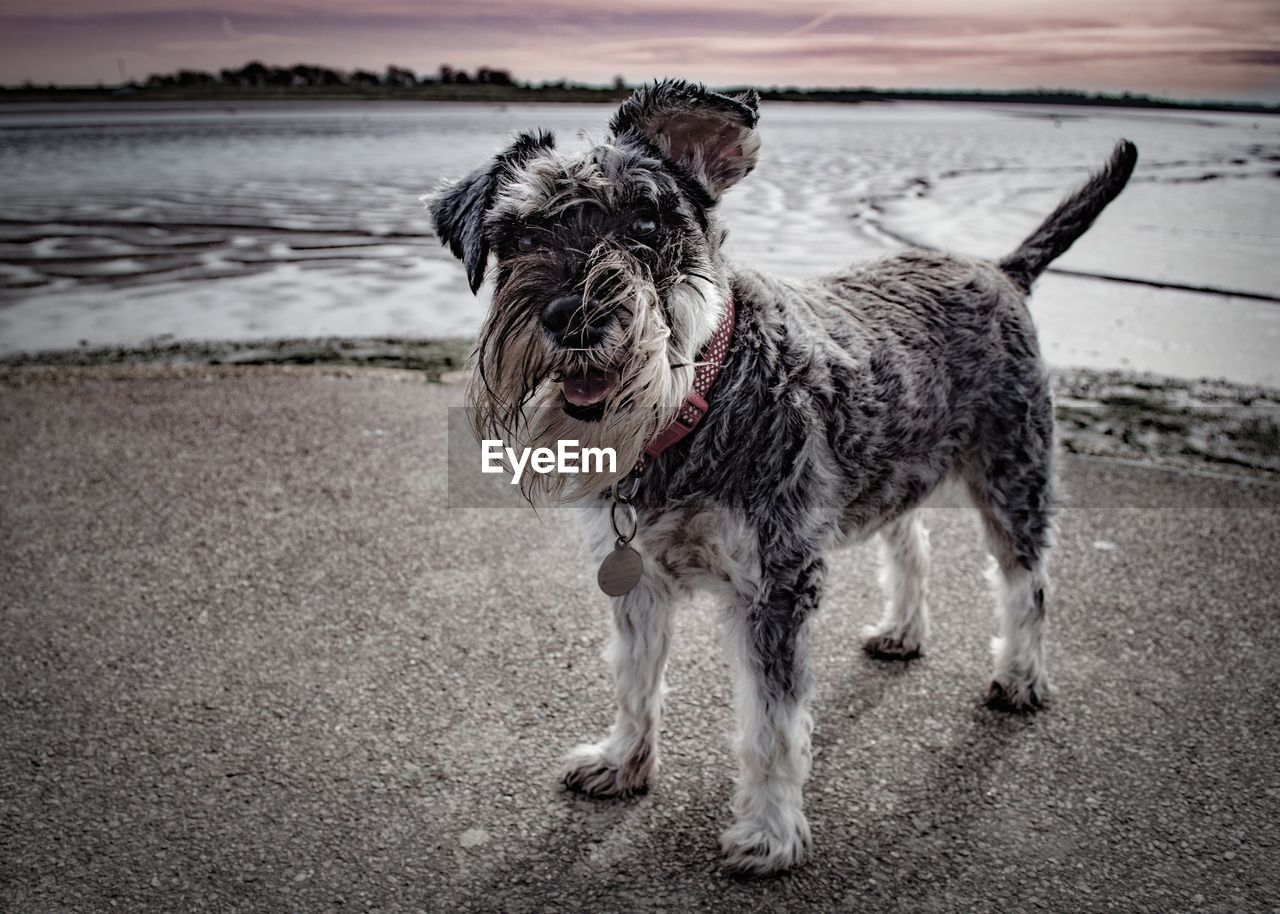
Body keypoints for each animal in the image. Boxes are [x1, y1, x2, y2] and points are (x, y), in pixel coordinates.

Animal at [432, 81, 1141, 870]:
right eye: (520, 236)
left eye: (646, 220)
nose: (572, 316)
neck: (696, 407)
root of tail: (1000, 270)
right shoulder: (638, 584)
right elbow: (634, 680)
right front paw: (622, 763)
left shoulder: (775, 587)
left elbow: (771, 725)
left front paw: (770, 834)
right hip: (901, 467)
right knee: (912, 543)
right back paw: (902, 631)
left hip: (1013, 471)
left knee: (1027, 582)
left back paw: (1020, 678)